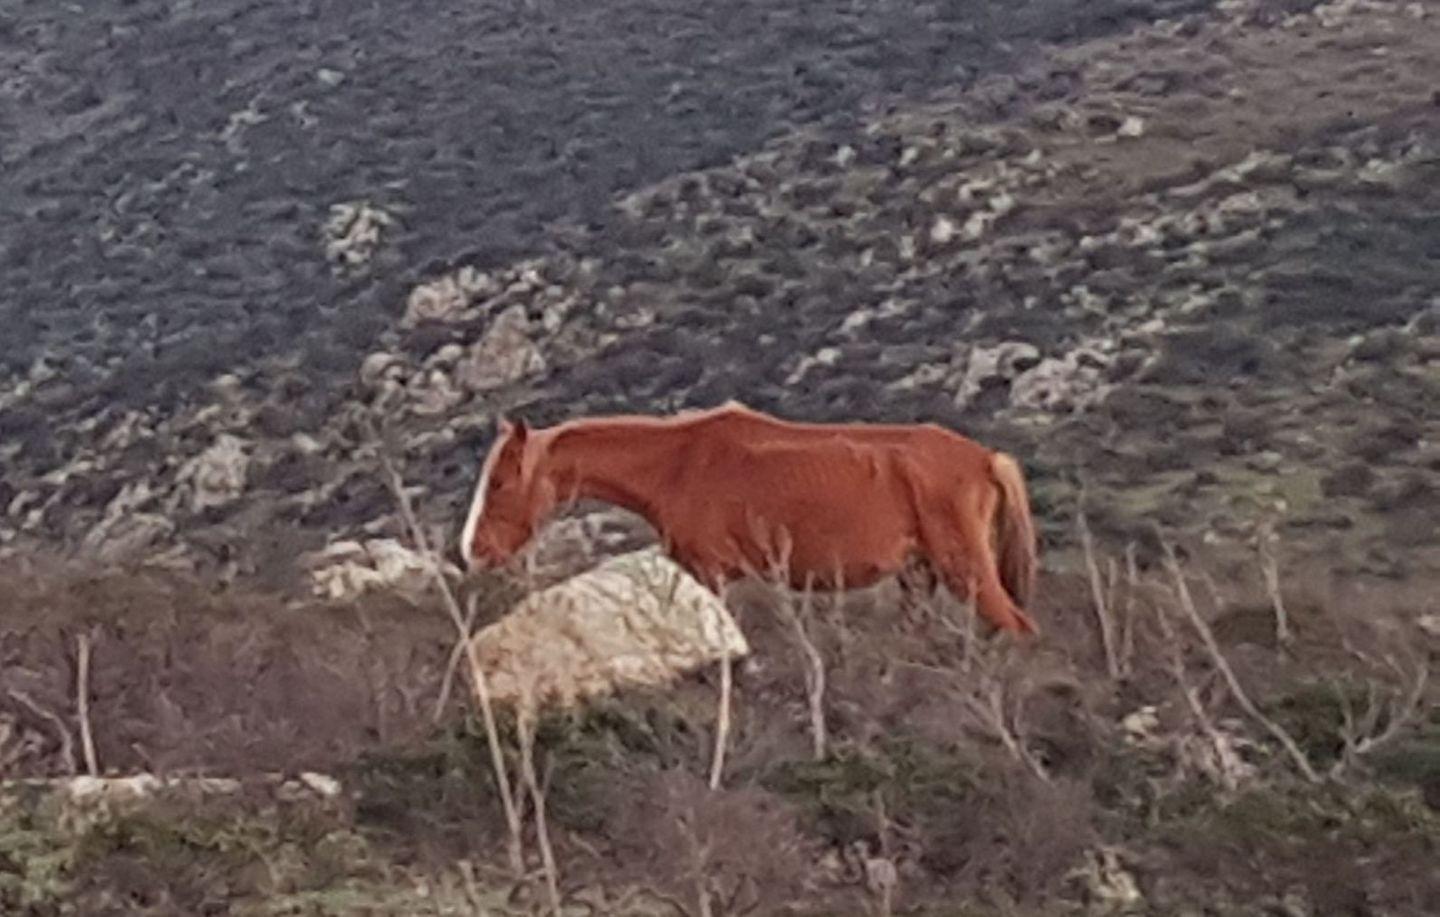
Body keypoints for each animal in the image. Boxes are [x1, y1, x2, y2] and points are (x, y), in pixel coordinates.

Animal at [459, 401, 1039, 635]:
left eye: (500, 482)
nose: (473, 551)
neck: (678, 463)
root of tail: (987, 458)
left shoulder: (711, 575)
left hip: (965, 570)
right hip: (919, 576)